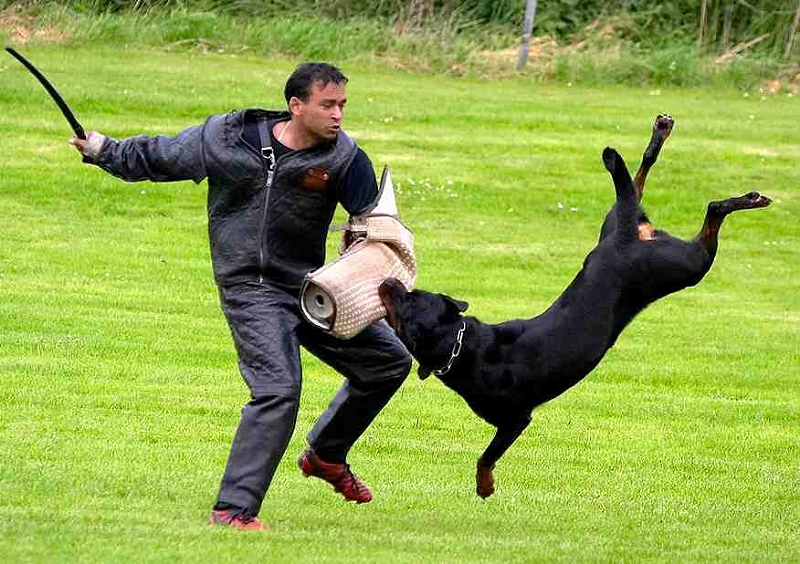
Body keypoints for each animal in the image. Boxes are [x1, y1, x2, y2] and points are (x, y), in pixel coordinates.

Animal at [378, 114, 772, 498]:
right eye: (409, 295)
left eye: (405, 306)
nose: (387, 282)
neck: (464, 344)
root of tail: (625, 239)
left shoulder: (516, 418)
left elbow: (486, 456)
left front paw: (484, 486)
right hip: (618, 229)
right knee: (635, 188)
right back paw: (661, 132)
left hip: (685, 267)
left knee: (711, 210)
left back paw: (751, 199)